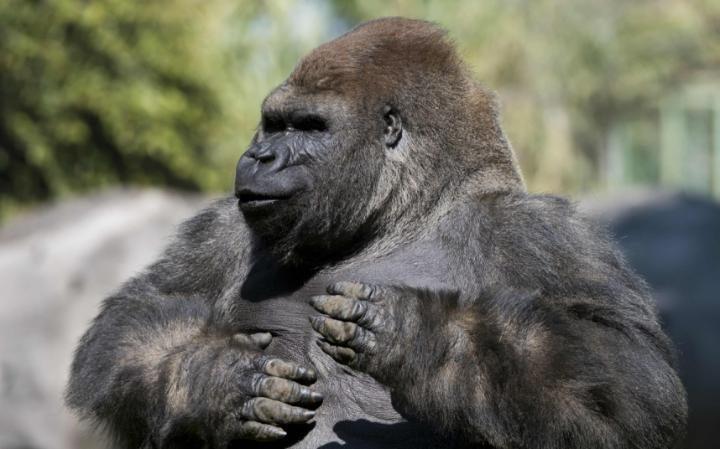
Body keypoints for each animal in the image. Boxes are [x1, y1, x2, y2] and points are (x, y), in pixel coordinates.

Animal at [67, 17, 687, 449]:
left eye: (309, 127)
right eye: (273, 124)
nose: (259, 156)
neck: (404, 215)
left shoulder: (541, 232)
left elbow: (628, 387)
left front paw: (418, 335)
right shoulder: (225, 225)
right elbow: (135, 318)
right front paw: (218, 380)